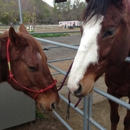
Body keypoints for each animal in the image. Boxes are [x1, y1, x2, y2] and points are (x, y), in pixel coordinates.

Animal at [67, 0, 129, 129]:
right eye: (81, 29)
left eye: (110, 31)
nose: (73, 86)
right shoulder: (112, 92)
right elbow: (114, 118)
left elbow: (127, 121)